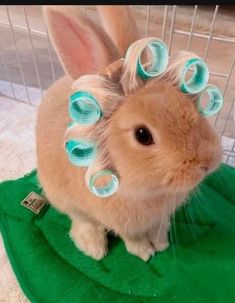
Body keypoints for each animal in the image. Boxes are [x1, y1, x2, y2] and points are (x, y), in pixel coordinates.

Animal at [36, 4, 222, 262]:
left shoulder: (160, 216)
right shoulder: (122, 222)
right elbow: (132, 238)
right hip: (60, 195)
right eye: (143, 135)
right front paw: (144, 252)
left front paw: (161, 243)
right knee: (81, 219)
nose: (207, 163)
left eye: (191, 106)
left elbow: (158, 228)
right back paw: (93, 247)